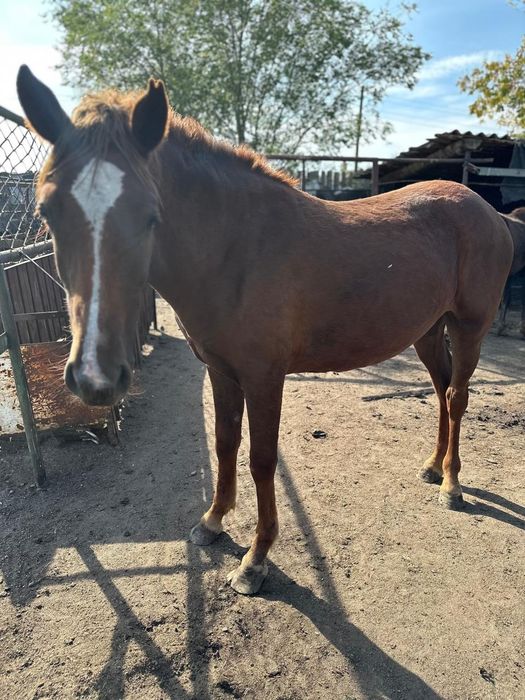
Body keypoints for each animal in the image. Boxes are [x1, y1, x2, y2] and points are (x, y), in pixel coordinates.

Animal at [17, 66, 519, 595]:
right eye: (47, 211)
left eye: (150, 215)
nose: (95, 377)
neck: (235, 249)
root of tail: (490, 212)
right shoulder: (220, 370)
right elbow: (224, 443)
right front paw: (213, 522)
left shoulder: (263, 377)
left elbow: (261, 459)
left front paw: (255, 560)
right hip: (427, 331)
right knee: (441, 391)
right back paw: (432, 467)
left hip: (469, 327)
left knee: (457, 397)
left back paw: (452, 485)